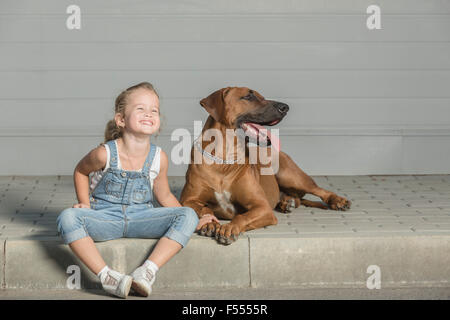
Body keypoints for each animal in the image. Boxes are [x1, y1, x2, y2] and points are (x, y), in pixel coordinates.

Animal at [180, 87, 352, 245]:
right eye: (248, 96)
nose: (285, 107)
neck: (223, 159)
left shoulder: (262, 207)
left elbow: (242, 216)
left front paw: (229, 228)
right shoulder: (188, 200)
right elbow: (203, 208)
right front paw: (209, 223)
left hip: (289, 175)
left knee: (319, 190)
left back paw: (338, 201)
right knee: (295, 197)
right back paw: (287, 202)